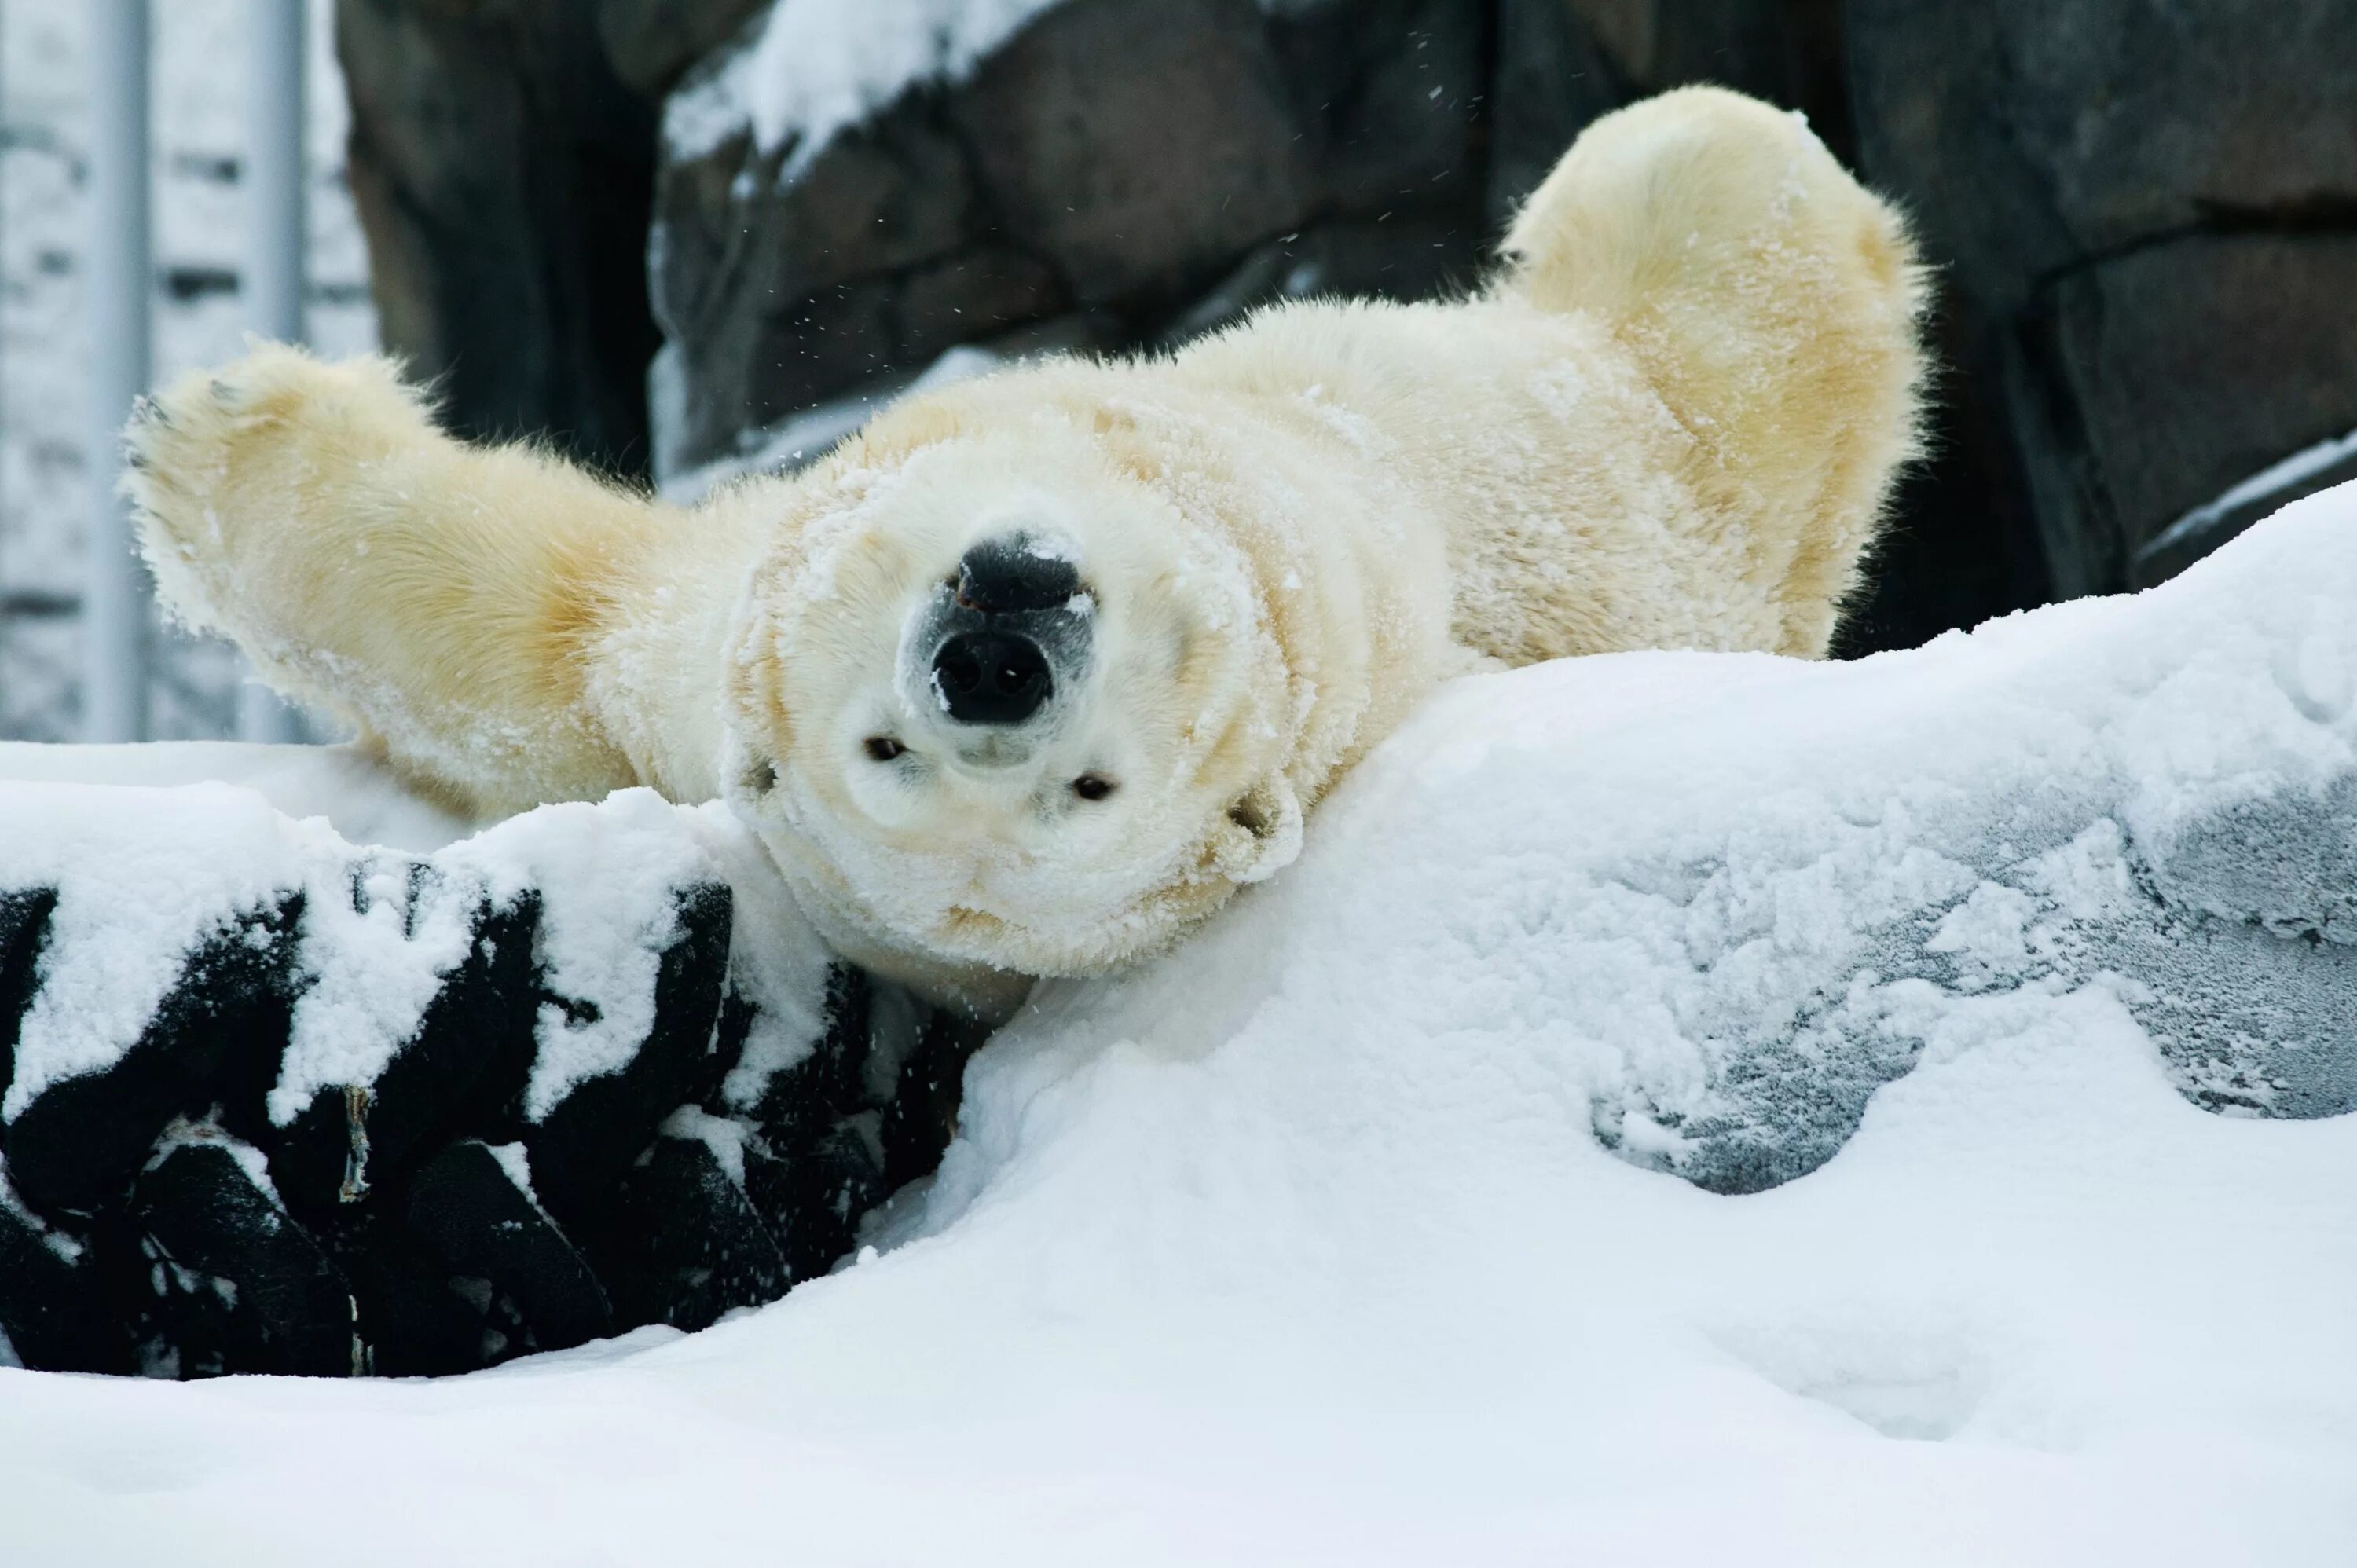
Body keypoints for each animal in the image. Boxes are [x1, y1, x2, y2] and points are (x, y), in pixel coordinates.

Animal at [129, 88, 1923, 1013]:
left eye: (1093, 786)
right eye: (885, 752)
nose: (995, 652)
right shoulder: (708, 671)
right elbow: (539, 640)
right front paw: (199, 431)